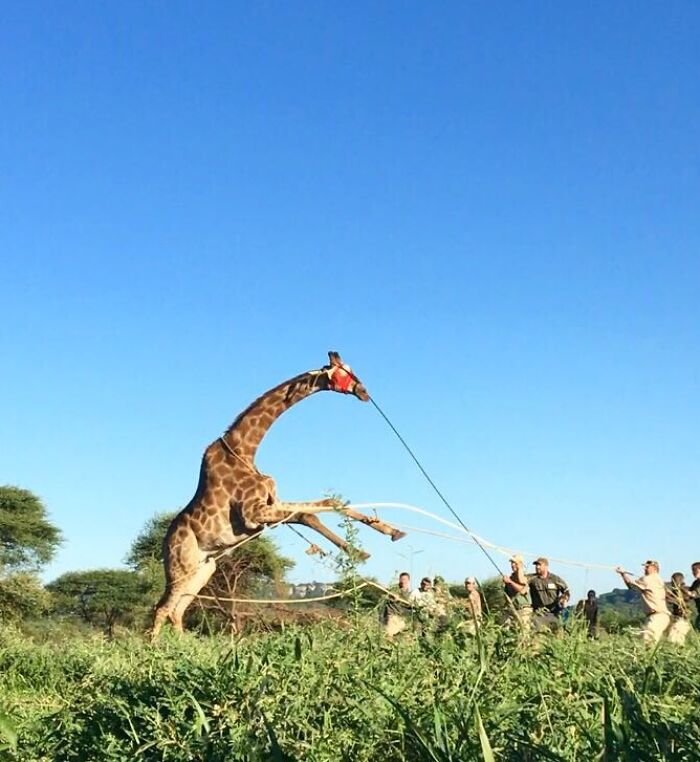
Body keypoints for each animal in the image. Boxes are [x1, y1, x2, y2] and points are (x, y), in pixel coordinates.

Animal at [151, 351, 406, 638]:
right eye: (343, 372)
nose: (364, 392)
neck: (246, 450)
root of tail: (164, 546)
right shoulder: (252, 513)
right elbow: (308, 513)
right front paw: (358, 550)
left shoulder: (271, 505)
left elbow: (322, 505)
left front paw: (386, 535)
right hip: (181, 566)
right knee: (162, 609)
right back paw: (158, 649)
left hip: (204, 567)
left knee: (176, 610)